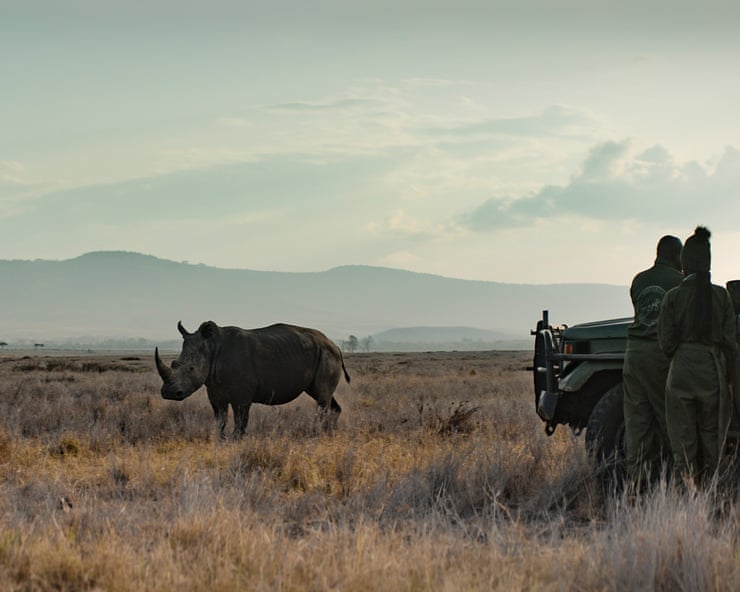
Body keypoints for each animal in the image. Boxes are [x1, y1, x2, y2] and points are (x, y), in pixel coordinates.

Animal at [155, 320, 350, 439]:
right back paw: (330, 433)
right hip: (320, 354)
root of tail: (336, 346)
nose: (168, 393)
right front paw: (220, 441)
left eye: (191, 369)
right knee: (323, 395)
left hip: (326, 353)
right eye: (174, 364)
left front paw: (235, 441)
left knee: (322, 397)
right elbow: (220, 421)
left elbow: (240, 423)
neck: (212, 348)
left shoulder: (242, 397)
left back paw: (316, 434)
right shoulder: (215, 391)